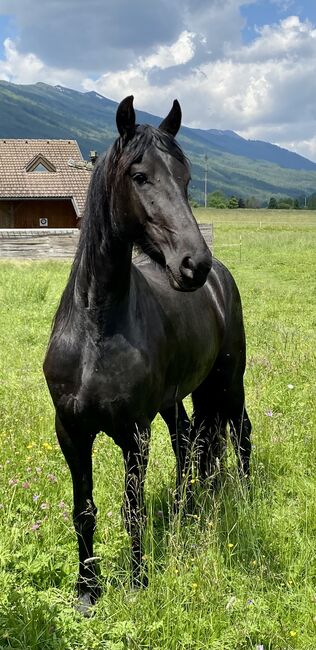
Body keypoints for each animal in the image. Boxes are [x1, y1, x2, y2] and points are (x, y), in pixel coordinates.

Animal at [43, 96, 251, 612]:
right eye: (140, 176)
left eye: (187, 178)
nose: (193, 265)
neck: (96, 329)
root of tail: (222, 279)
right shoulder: (71, 431)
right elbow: (84, 509)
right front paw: (87, 591)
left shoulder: (134, 433)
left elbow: (131, 511)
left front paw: (137, 582)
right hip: (177, 401)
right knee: (191, 444)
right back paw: (185, 511)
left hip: (229, 381)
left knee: (238, 434)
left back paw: (239, 497)